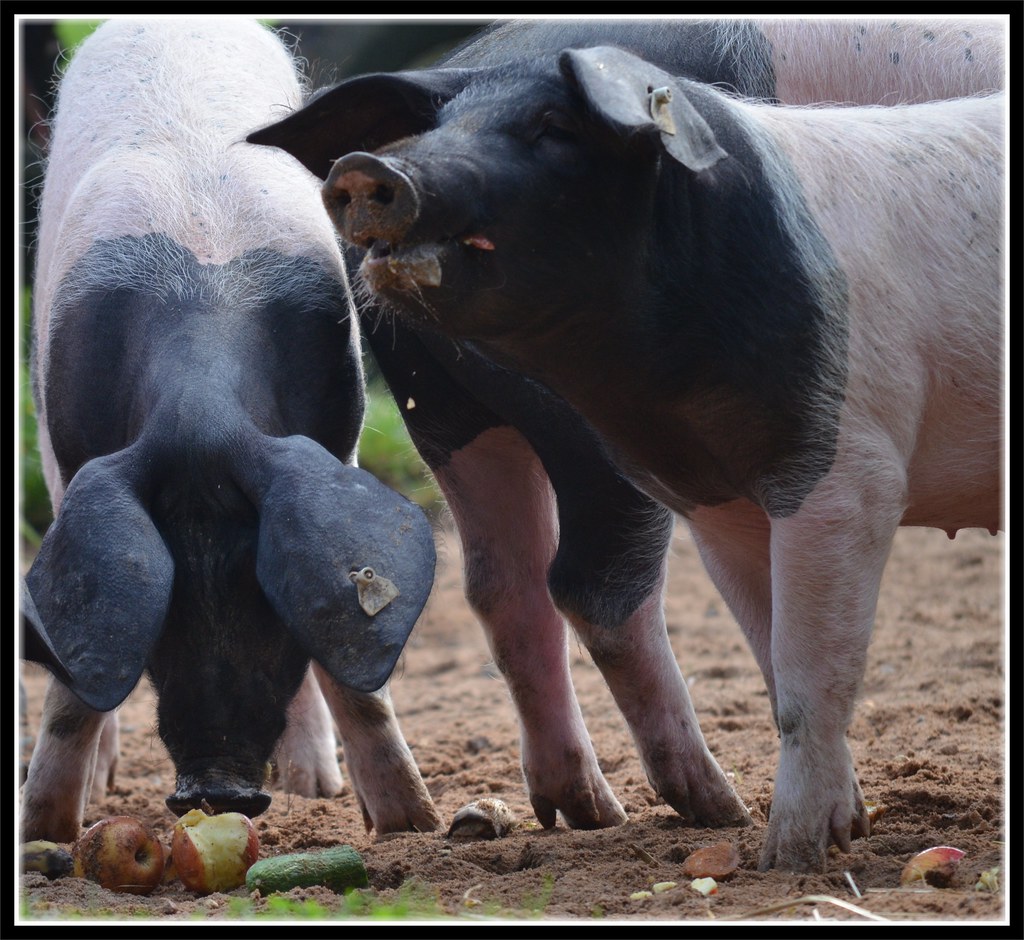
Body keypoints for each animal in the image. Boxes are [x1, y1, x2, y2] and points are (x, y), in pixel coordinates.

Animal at [20, 18, 442, 844]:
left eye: (264, 592)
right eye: (164, 606)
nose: (220, 790)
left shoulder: (337, 438)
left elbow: (347, 644)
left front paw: (414, 826)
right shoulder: (67, 454)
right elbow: (78, 670)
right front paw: (41, 834)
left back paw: (314, 784)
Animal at [248, 18, 1005, 872]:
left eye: (554, 125)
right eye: (438, 127)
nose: (367, 166)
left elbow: (791, 664)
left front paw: (827, 835)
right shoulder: (835, 470)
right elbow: (802, 669)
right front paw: (792, 851)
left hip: (451, 414)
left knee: (501, 585)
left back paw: (568, 811)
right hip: (559, 430)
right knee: (587, 585)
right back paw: (707, 808)